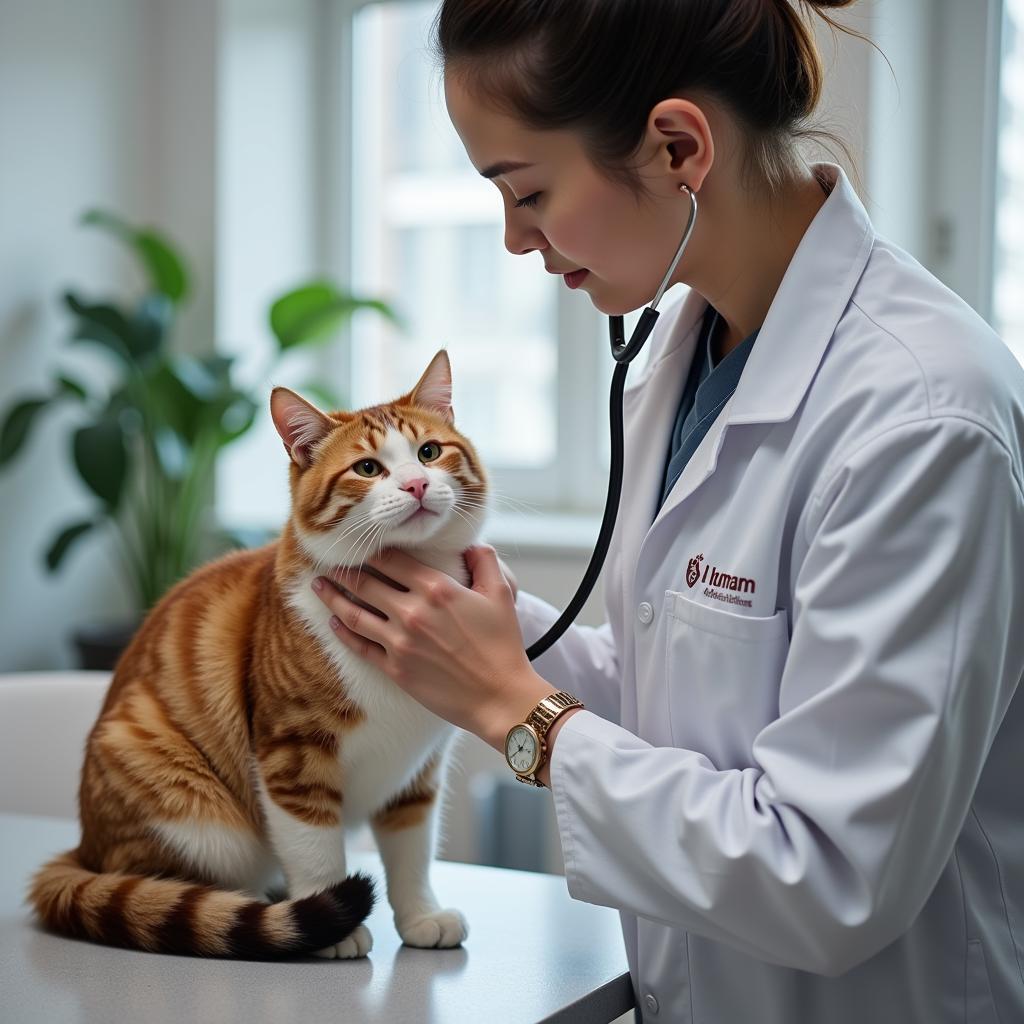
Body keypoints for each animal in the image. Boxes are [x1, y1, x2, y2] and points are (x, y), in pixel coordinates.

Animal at [28, 350, 483, 958]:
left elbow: (412, 853)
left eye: (429, 452)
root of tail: (85, 848)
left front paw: (420, 917)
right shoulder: (291, 755)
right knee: (161, 886)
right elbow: (315, 849)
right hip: (192, 814)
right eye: (367, 469)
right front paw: (330, 923)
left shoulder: (419, 773)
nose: (414, 484)